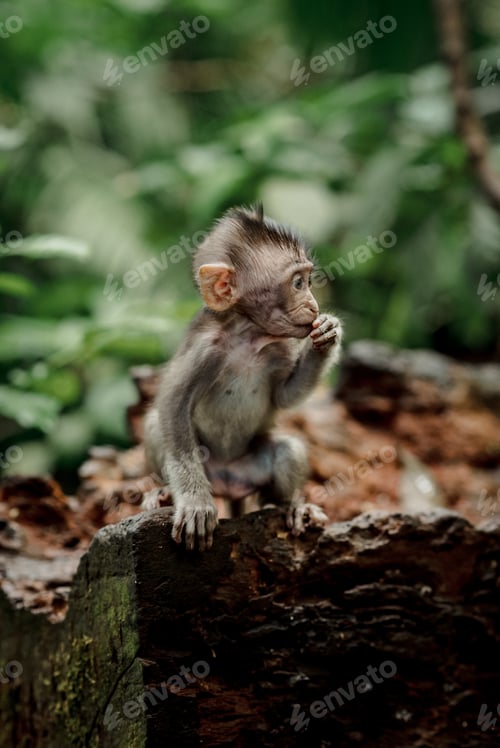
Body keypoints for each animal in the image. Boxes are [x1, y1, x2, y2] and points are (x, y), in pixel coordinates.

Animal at [143, 204, 343, 550]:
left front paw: (327, 336)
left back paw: (292, 505)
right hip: (207, 466)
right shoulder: (204, 349)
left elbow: (285, 396)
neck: (248, 335)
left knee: (288, 450)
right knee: (157, 424)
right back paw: (165, 492)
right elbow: (171, 405)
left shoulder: (279, 347)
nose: (314, 305)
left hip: (253, 471)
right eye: (297, 284)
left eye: (307, 279)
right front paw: (194, 502)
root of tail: (228, 483)